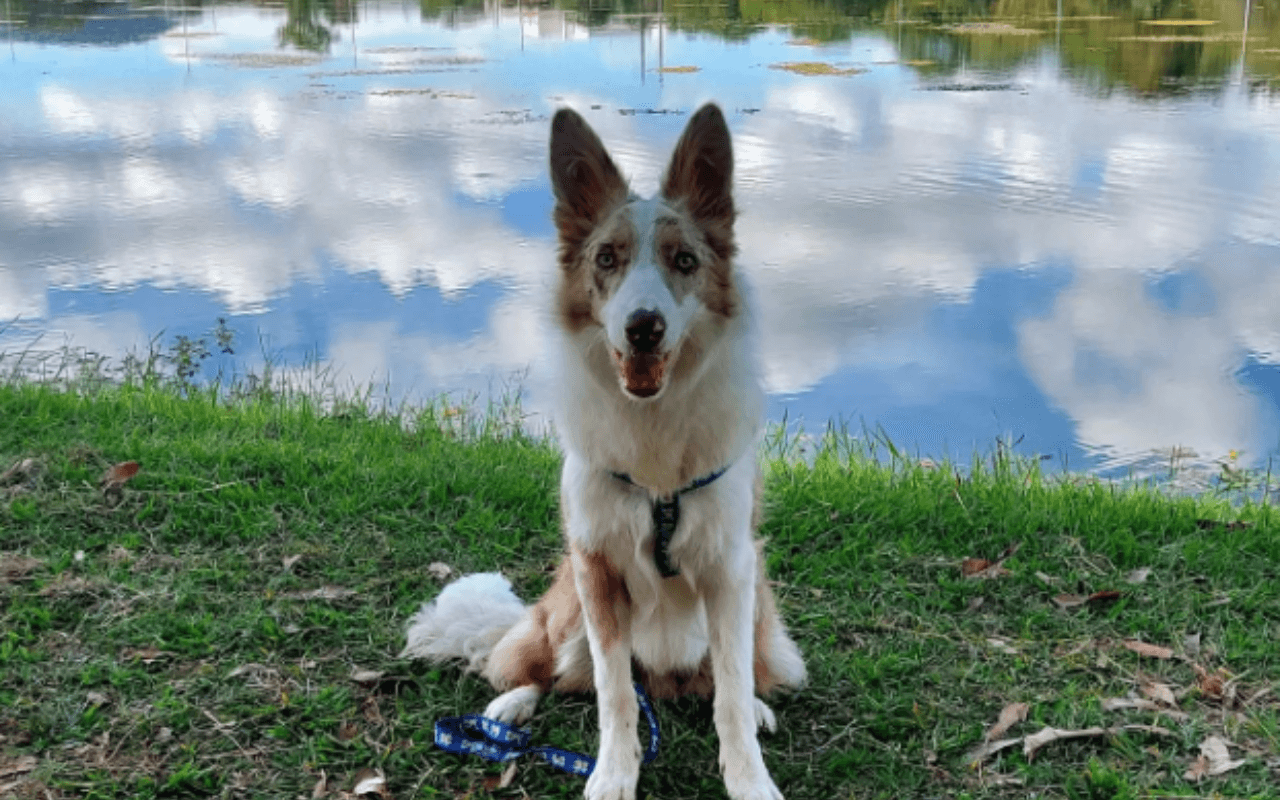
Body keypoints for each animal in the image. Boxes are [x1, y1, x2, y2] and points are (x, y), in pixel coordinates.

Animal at [401, 104, 798, 798]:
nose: (643, 327)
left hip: (759, 606)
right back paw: (509, 709)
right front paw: (613, 776)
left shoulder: (731, 567)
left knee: (730, 674)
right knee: (551, 669)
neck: (654, 435)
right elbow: (614, 693)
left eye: (684, 260)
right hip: (565, 612)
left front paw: (749, 777)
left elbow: (728, 690)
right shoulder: (597, 570)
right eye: (607, 257)